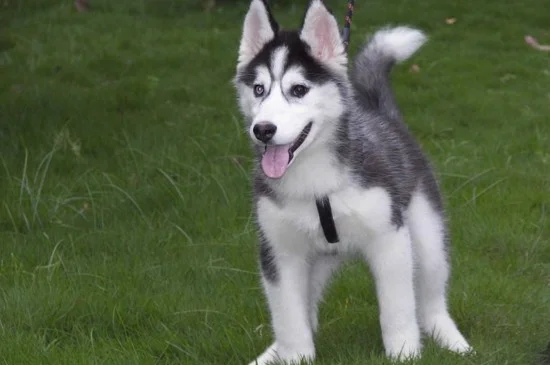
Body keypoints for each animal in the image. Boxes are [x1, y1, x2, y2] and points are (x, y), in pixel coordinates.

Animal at [233, 1, 474, 362]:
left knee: (431, 297)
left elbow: (398, 310)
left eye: (298, 90)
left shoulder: (390, 238)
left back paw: (450, 338)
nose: (262, 129)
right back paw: (272, 353)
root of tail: (381, 113)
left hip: (427, 234)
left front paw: (405, 352)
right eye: (259, 89)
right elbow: (289, 318)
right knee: (306, 314)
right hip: (313, 262)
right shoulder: (279, 251)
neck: (314, 180)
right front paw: (293, 356)